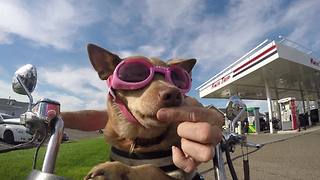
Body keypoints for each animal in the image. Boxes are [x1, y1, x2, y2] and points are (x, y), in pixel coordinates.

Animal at [85, 44, 200, 180]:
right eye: (136, 74)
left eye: (176, 79)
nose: (174, 94)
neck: (139, 141)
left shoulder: (180, 175)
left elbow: (151, 168)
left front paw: (113, 169)